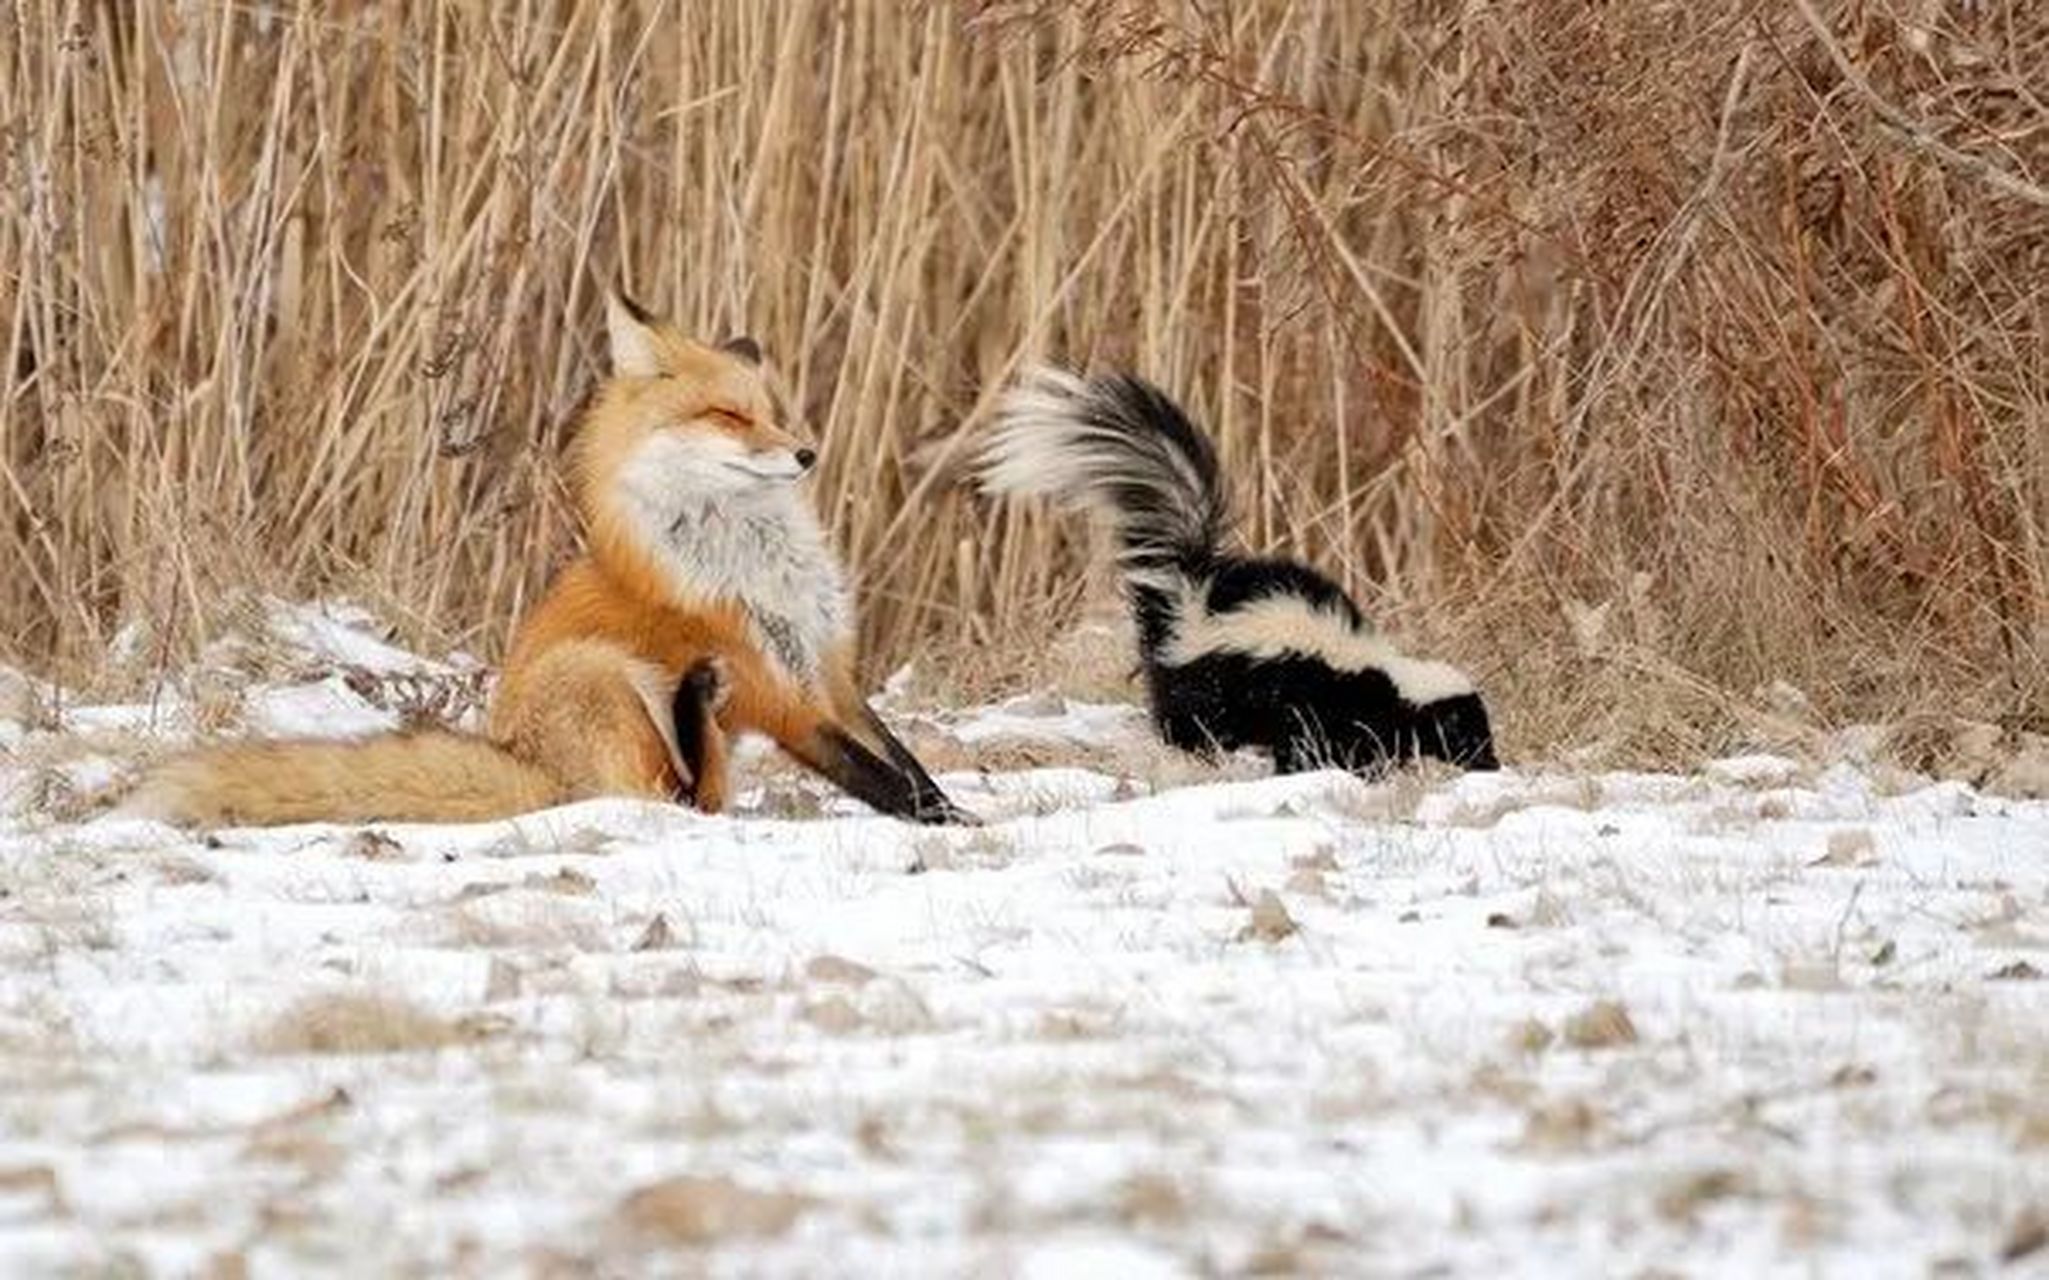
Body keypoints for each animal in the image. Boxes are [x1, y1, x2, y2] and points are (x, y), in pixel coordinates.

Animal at [134, 288, 967, 823]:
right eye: (728, 416)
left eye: (770, 412)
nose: (805, 453)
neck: (753, 561)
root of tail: (530, 770)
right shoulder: (780, 694)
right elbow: (883, 781)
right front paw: (952, 827)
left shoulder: (828, 671)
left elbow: (904, 762)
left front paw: (955, 811)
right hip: (596, 673)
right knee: (677, 800)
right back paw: (692, 704)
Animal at [983, 364, 1499, 774]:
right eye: (1466, 730)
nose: (1491, 763)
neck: (1387, 678)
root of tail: (1190, 585)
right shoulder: (1321, 699)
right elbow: (1318, 743)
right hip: (1207, 678)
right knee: (1189, 719)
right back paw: (1196, 752)